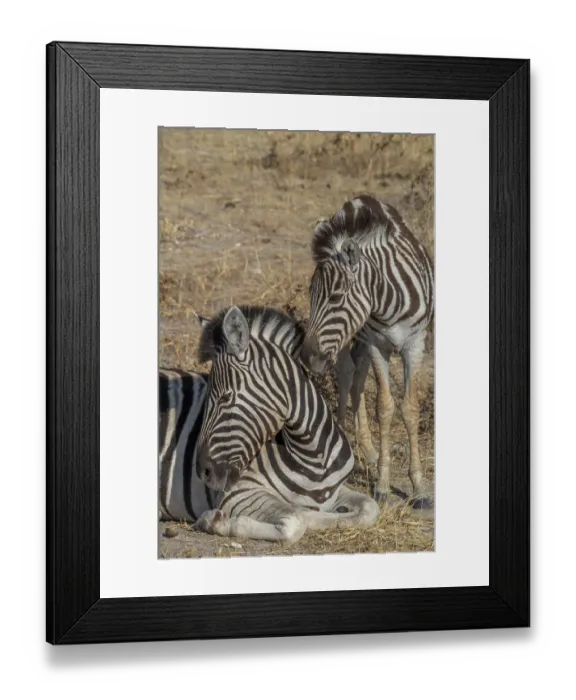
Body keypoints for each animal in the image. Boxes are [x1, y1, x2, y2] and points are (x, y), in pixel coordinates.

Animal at [159, 306, 379, 542]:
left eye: (225, 398)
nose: (203, 472)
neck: (314, 458)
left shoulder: (338, 490)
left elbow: (370, 507)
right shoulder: (238, 492)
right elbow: (295, 521)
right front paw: (216, 521)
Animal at [300, 195, 434, 509]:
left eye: (336, 297)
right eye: (310, 295)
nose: (307, 357)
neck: (388, 300)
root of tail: (360, 199)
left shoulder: (415, 343)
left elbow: (409, 408)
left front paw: (419, 488)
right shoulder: (377, 344)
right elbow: (384, 407)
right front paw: (383, 486)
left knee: (358, 375)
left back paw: (369, 450)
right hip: (356, 334)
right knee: (348, 372)